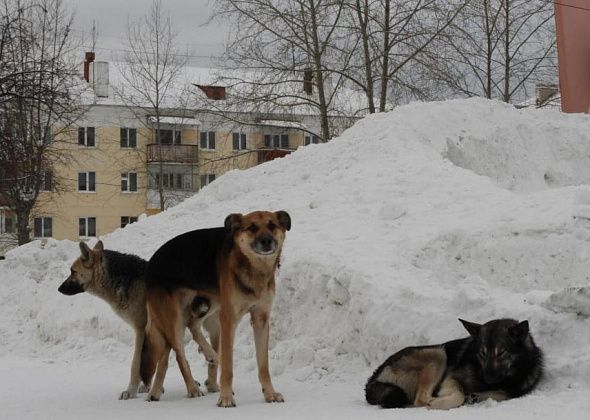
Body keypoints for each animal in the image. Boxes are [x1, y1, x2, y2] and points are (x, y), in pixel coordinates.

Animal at [142, 210, 294, 406]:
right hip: (174, 319)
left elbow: (263, 365)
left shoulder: (261, 319)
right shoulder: (229, 320)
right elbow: (228, 366)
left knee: (191, 327)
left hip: (211, 303)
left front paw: (269, 393)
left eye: (272, 225)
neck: (252, 267)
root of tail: (150, 264)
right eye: (252, 227)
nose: (267, 241)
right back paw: (192, 387)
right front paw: (226, 397)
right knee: (179, 354)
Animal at [366, 320, 544, 408]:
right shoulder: (451, 378)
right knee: (420, 399)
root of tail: (373, 378)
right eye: (482, 353)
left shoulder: (511, 392)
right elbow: (459, 395)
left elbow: (500, 393)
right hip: (438, 354)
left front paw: (477, 396)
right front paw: (443, 402)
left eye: (501, 353)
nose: (487, 379)